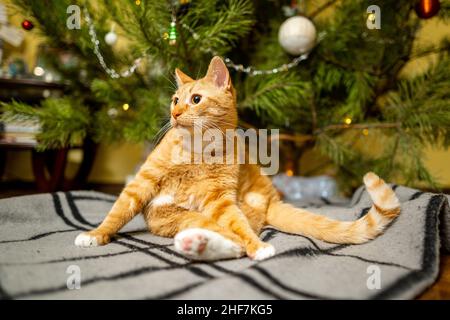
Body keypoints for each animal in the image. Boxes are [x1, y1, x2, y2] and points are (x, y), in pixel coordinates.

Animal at [75, 57, 402, 262]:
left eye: (195, 99)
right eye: (175, 100)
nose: (175, 114)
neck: (197, 150)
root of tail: (272, 199)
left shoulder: (220, 200)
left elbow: (240, 230)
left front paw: (258, 247)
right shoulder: (141, 183)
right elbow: (116, 213)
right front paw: (96, 234)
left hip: (224, 211)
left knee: (237, 238)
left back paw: (206, 245)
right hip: (184, 218)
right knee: (224, 237)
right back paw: (196, 243)